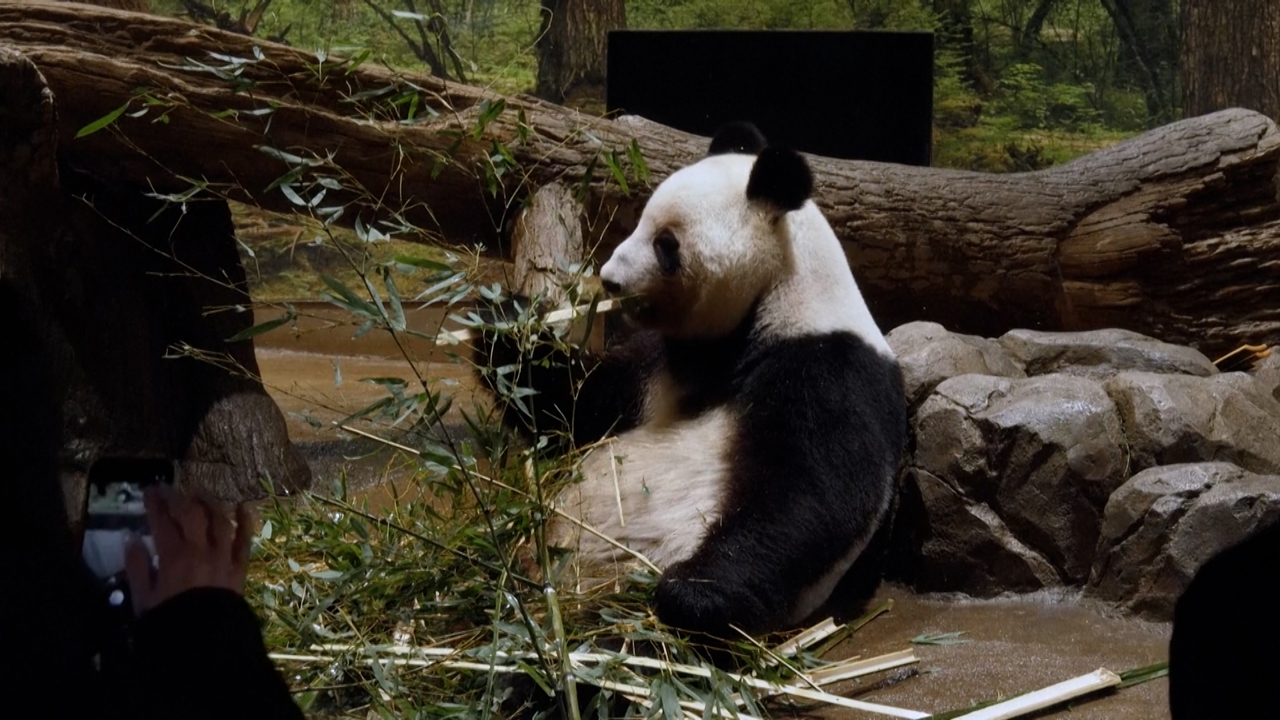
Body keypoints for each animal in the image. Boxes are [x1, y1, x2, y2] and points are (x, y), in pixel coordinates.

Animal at [475, 121, 907, 639]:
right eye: (640, 220)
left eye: (665, 243)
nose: (610, 280)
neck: (774, 298)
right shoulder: (660, 363)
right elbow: (579, 403)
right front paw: (500, 325)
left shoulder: (827, 367)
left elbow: (813, 495)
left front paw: (692, 595)